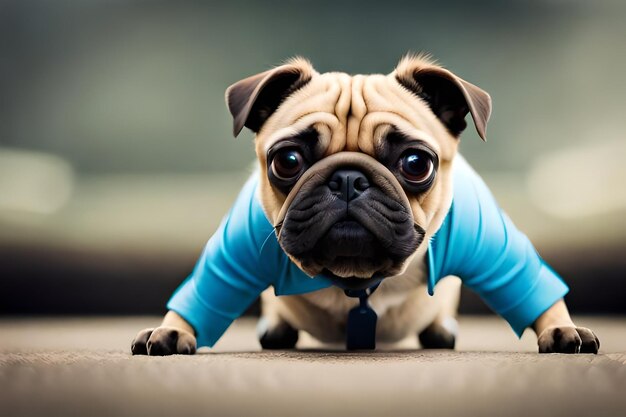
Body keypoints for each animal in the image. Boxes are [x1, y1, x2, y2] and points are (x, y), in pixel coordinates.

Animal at [130, 54, 596, 354]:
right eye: (287, 161)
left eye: (416, 164)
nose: (349, 179)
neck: (356, 279)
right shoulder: (238, 250)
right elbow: (206, 290)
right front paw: (172, 331)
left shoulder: (485, 243)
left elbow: (528, 285)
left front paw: (560, 328)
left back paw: (441, 330)